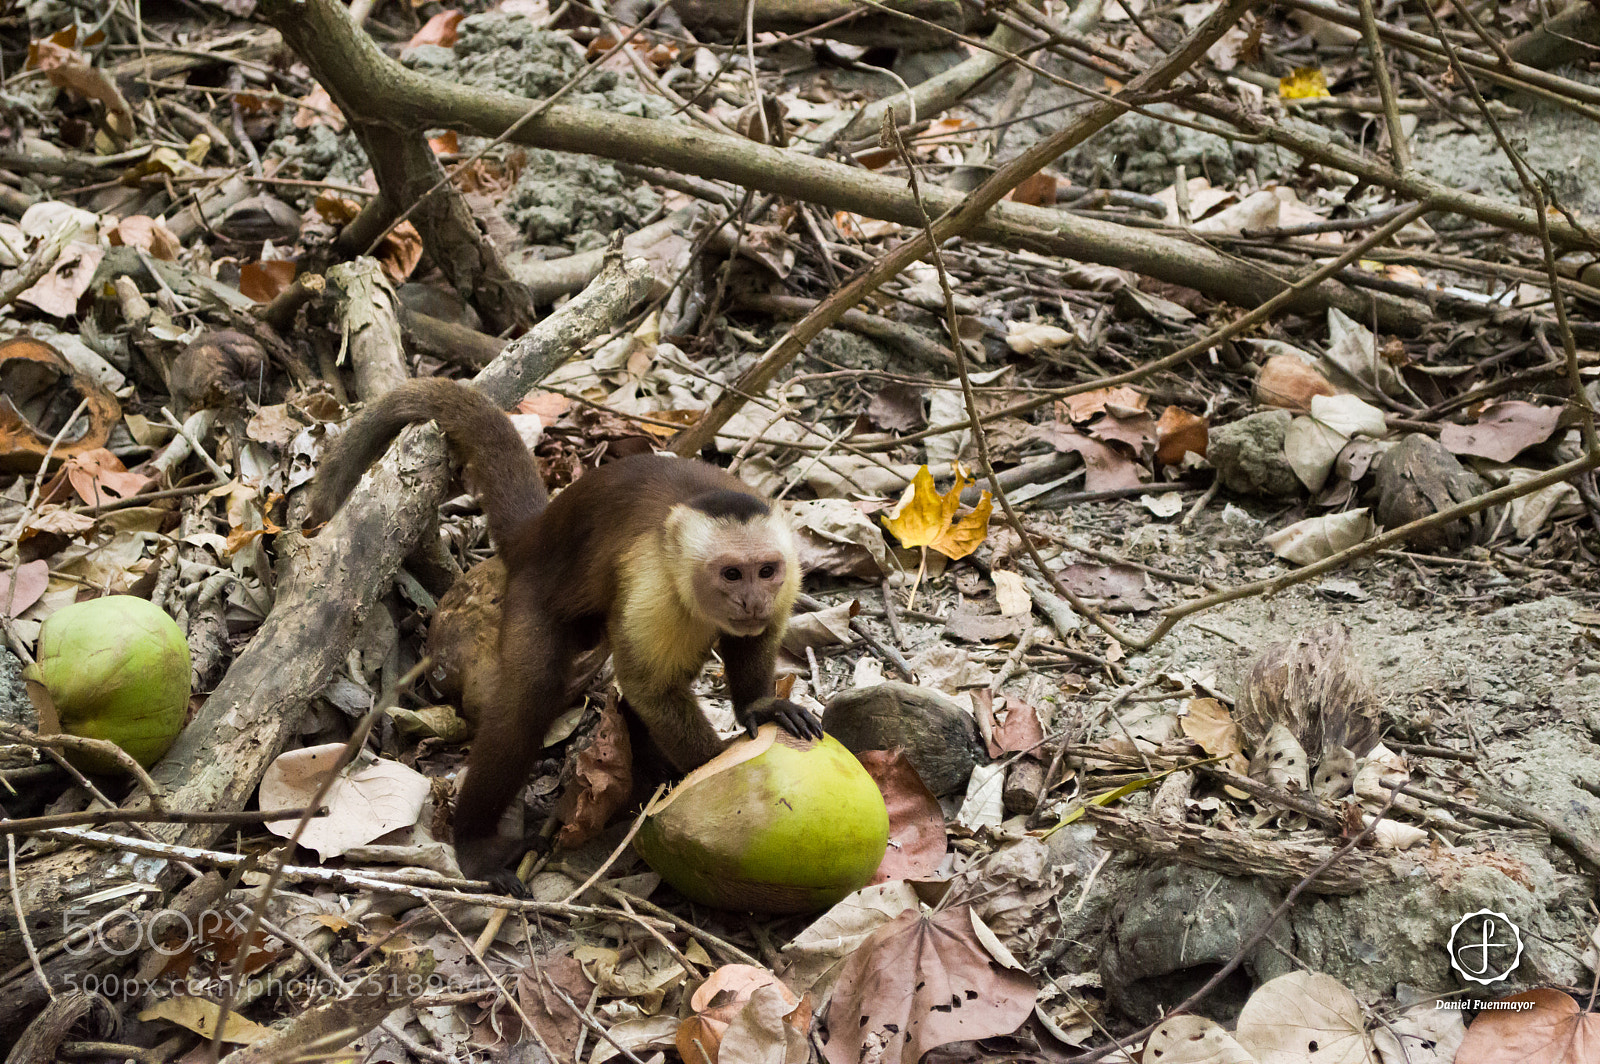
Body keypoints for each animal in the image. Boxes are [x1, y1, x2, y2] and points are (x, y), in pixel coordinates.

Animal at [306, 378, 824, 893]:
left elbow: (752, 641)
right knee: (527, 699)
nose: (752, 601)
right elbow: (651, 689)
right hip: (533, 593)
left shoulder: (787, 579)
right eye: (732, 574)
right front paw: (712, 766)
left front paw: (761, 707)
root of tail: (538, 531)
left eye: (766, 571)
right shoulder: (654, 587)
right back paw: (479, 846)